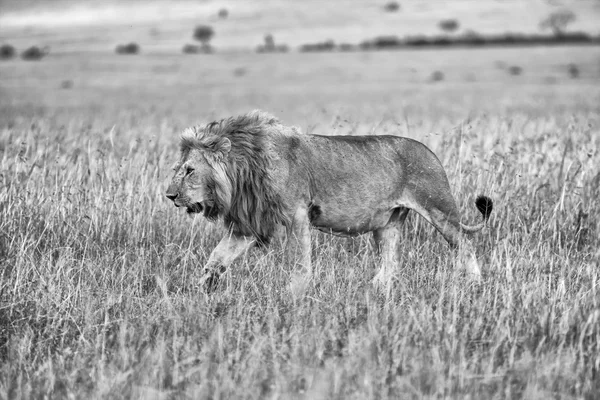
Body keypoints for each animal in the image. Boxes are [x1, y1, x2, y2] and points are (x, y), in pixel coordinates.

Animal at [165, 109, 492, 290]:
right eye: (178, 168)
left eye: (190, 170)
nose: (169, 195)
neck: (245, 168)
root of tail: (430, 151)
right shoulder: (248, 225)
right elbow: (216, 259)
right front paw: (198, 292)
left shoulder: (298, 214)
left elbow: (301, 262)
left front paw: (294, 293)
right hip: (387, 224)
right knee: (390, 262)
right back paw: (374, 290)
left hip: (439, 208)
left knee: (464, 243)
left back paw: (476, 284)